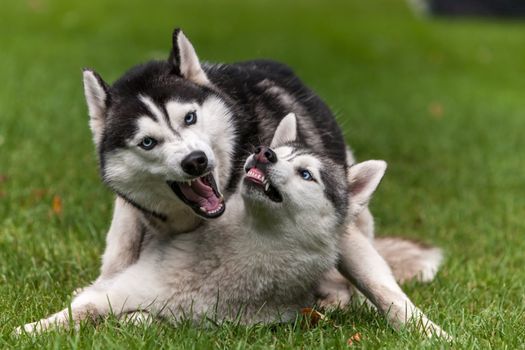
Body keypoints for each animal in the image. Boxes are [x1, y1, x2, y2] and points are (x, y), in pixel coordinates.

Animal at [16, 113, 386, 332]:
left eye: (306, 174)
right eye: (278, 154)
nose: (264, 152)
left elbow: (144, 320)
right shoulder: (120, 290)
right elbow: (77, 312)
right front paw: (28, 332)